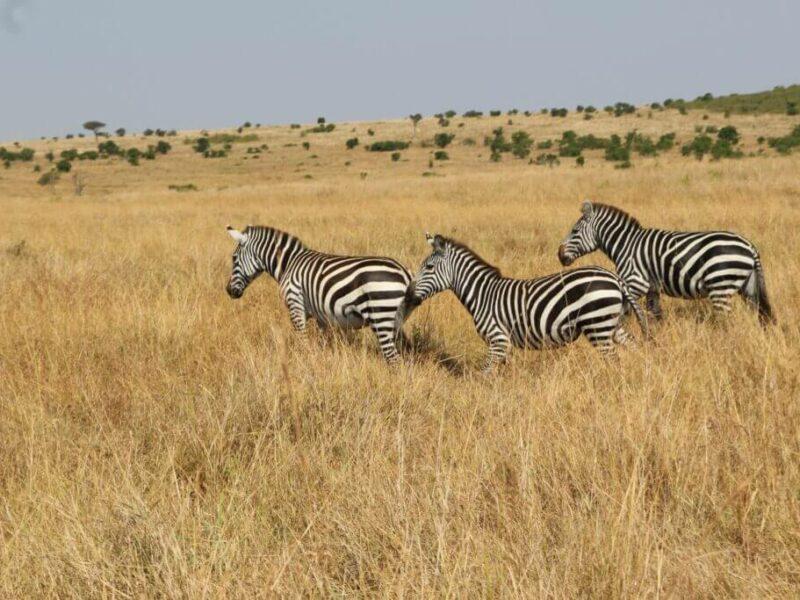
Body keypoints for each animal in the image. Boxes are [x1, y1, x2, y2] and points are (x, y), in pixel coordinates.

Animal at [225, 225, 416, 363]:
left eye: (234, 258)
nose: (228, 291)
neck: (288, 264)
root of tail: (404, 272)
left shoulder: (295, 305)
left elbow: (302, 341)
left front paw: (305, 364)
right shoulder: (322, 316)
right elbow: (323, 344)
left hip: (380, 315)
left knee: (393, 358)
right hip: (395, 319)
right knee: (405, 352)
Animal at [408, 233, 648, 371]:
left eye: (429, 267)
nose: (409, 295)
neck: (481, 294)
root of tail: (614, 277)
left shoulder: (498, 340)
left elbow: (485, 373)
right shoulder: (505, 345)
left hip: (597, 324)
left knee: (613, 359)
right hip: (612, 324)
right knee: (633, 347)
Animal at [557, 201, 775, 326]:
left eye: (575, 231)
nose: (559, 255)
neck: (626, 244)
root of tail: (750, 246)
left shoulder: (635, 282)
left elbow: (624, 314)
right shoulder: (652, 288)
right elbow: (655, 316)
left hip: (720, 285)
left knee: (726, 321)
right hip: (748, 287)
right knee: (761, 314)